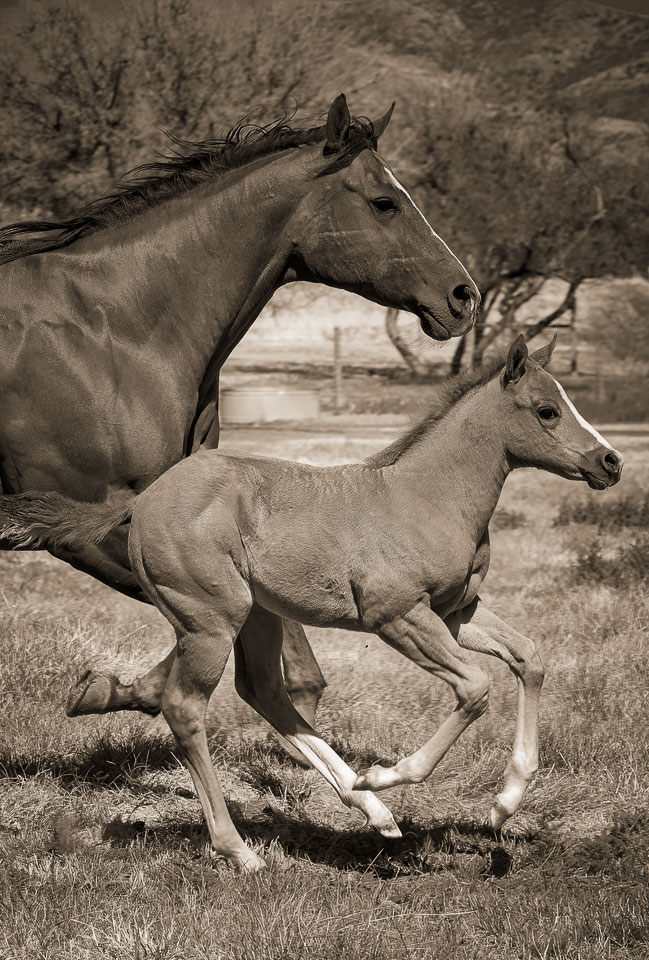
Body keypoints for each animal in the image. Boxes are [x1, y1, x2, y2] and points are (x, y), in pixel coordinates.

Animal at [0, 95, 476, 728]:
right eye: (384, 202)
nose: (464, 297)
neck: (111, 332)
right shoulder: (83, 525)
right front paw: (110, 690)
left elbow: (278, 646)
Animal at [0, 336, 624, 872]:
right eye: (547, 410)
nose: (611, 462)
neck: (428, 497)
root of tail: (144, 499)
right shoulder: (398, 617)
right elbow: (475, 688)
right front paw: (390, 774)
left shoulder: (456, 614)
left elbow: (530, 657)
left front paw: (505, 801)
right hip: (211, 621)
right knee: (186, 708)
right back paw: (245, 849)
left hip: (257, 615)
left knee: (264, 692)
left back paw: (371, 810)